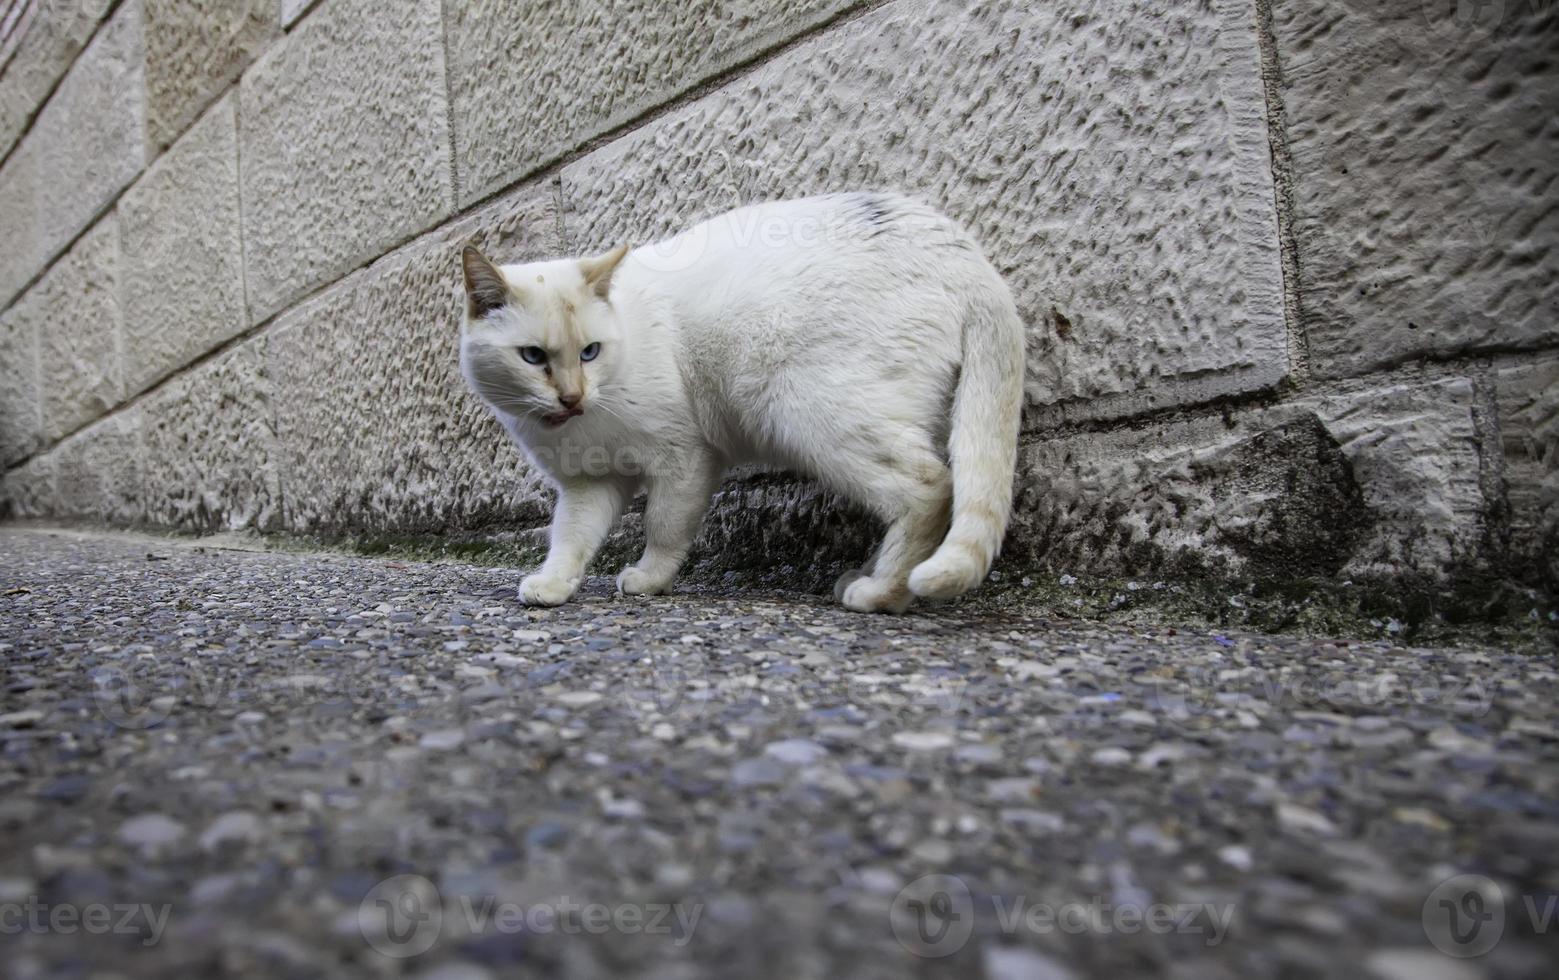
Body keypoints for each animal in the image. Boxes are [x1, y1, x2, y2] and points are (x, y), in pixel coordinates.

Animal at [455, 190, 1028, 610]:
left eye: (589, 352)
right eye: (533, 357)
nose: (572, 396)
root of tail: (967, 258)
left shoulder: (683, 459)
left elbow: (664, 526)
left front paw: (649, 580)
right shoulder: (589, 483)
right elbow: (570, 538)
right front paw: (553, 585)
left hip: (816, 415)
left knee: (931, 489)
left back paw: (881, 593)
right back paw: (874, 577)